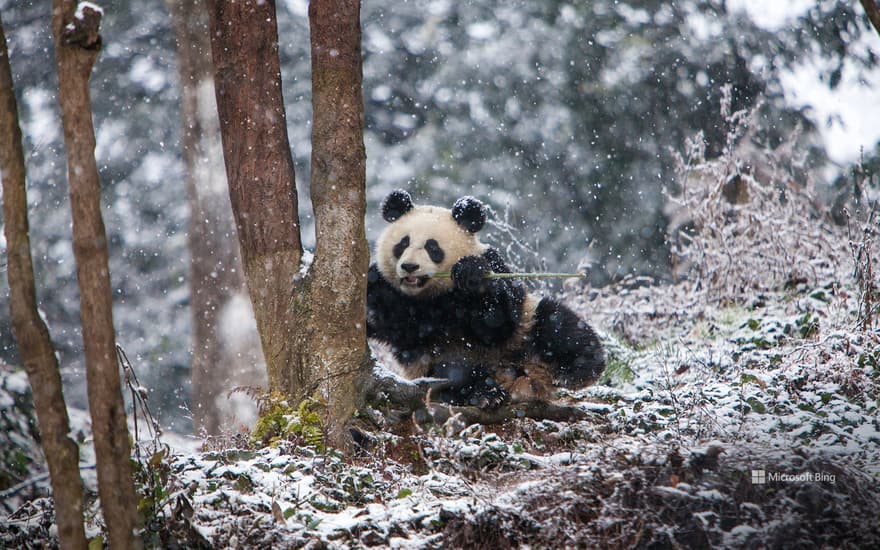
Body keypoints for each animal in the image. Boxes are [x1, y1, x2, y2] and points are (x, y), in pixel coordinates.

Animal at [366, 190, 604, 410]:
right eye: (402, 244)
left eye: (432, 247)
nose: (409, 266)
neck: (430, 296)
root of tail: (521, 380)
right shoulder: (390, 293)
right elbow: (377, 311)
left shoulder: (493, 264)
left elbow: (498, 321)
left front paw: (470, 274)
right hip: (435, 364)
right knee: (454, 375)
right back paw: (486, 393)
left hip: (526, 328)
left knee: (558, 325)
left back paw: (577, 369)